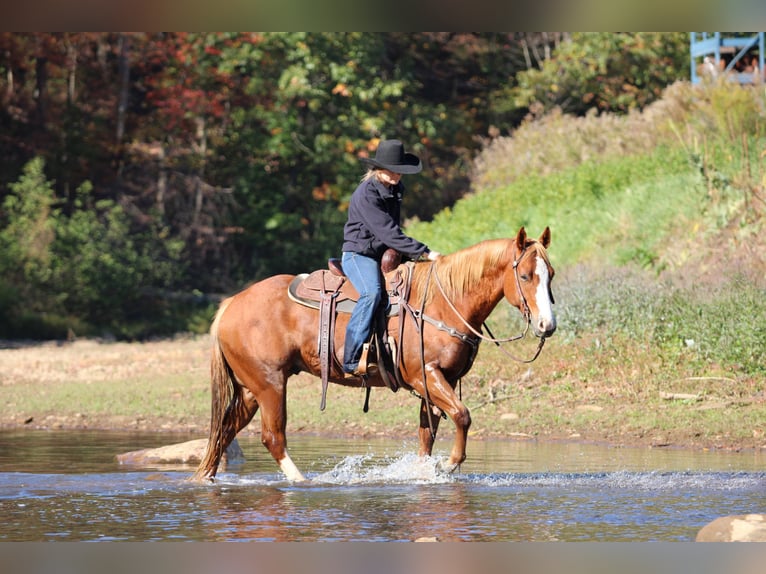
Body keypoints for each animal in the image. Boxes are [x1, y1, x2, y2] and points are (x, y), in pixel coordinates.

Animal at [193, 226, 556, 482]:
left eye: (550, 274)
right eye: (526, 275)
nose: (547, 325)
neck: (443, 301)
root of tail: (232, 304)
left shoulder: (440, 382)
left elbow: (427, 434)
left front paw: (426, 472)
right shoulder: (426, 376)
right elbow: (462, 415)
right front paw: (449, 464)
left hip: (250, 388)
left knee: (224, 430)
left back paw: (205, 478)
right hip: (270, 384)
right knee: (272, 436)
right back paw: (302, 482)